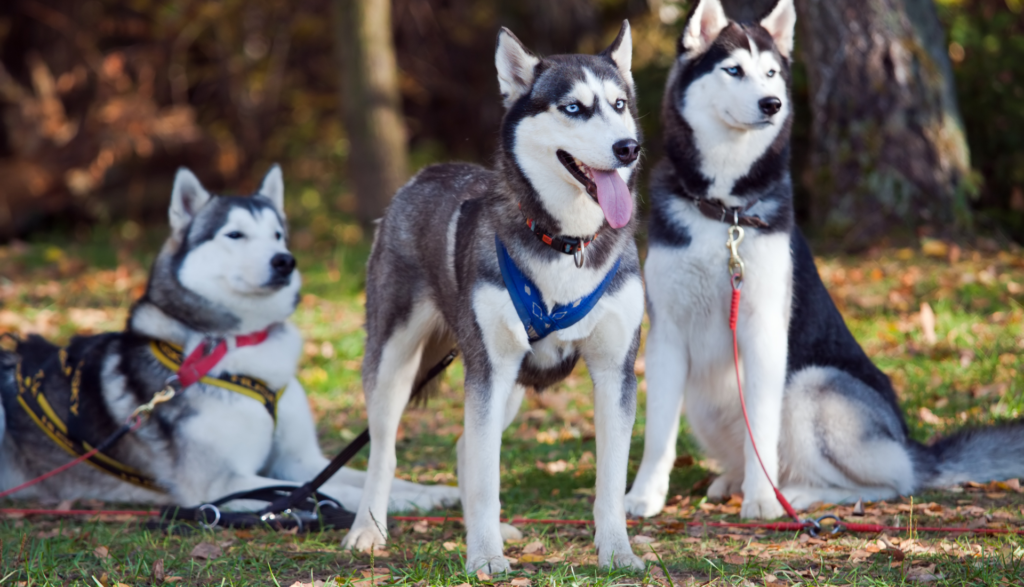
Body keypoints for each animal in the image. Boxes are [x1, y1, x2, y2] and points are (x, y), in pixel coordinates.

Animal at [0, 164, 456, 512]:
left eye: (277, 235)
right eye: (234, 235)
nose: (285, 261)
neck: (241, 343)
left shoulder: (300, 459)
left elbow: (355, 474)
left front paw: (433, 491)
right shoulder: (221, 482)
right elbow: (328, 490)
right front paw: (395, 505)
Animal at [344, 25, 643, 569]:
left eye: (618, 104)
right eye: (574, 108)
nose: (628, 147)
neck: (564, 242)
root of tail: (424, 174)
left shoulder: (616, 371)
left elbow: (610, 481)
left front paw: (616, 552)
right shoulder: (490, 368)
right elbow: (487, 478)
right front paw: (484, 558)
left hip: (511, 383)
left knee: (466, 446)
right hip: (397, 358)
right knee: (385, 449)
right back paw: (368, 529)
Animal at [622, 0, 1024, 516]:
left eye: (771, 73)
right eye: (734, 70)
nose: (771, 104)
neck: (726, 209)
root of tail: (914, 448)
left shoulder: (764, 331)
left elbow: (762, 427)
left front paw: (762, 500)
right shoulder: (668, 334)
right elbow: (657, 433)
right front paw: (644, 496)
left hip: (812, 387)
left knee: (889, 482)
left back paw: (795, 493)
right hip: (706, 401)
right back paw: (734, 480)